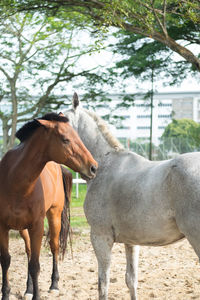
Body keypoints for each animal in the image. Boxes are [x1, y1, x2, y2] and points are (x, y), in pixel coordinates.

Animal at [0, 112, 97, 300]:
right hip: (23, 228)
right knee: (29, 251)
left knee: (54, 247)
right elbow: (6, 260)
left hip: (54, 217)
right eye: (65, 139)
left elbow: (35, 265)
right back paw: (29, 289)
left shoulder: (37, 226)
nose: (93, 167)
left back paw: (54, 285)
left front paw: (38, 295)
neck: (14, 181)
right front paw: (6, 294)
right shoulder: (2, 227)